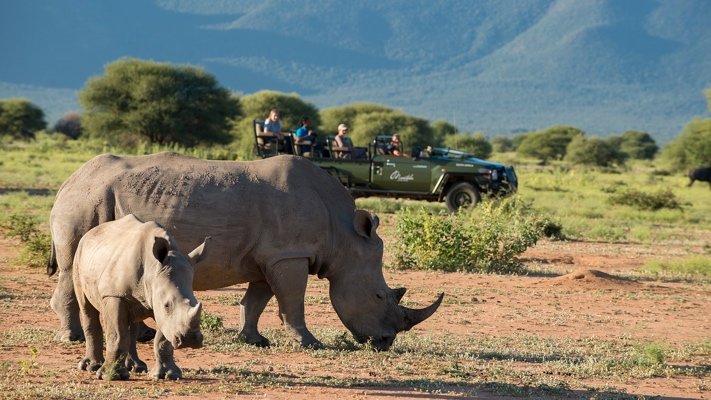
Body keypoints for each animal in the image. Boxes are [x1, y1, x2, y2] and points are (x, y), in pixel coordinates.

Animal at [48, 152, 440, 350]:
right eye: (379, 296)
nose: (385, 343)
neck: (344, 236)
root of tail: (69, 179)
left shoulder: (272, 256)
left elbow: (257, 300)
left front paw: (255, 340)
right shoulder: (289, 255)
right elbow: (292, 303)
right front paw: (311, 344)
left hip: (93, 199)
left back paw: (140, 335)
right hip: (85, 202)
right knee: (71, 269)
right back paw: (73, 338)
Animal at [74, 214, 210, 380]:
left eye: (195, 302)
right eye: (167, 305)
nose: (190, 340)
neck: (153, 269)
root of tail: (90, 232)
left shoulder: (157, 298)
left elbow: (163, 338)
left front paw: (168, 375)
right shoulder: (114, 295)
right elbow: (117, 335)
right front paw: (110, 376)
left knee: (131, 323)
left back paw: (136, 367)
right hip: (79, 256)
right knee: (86, 307)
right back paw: (90, 367)